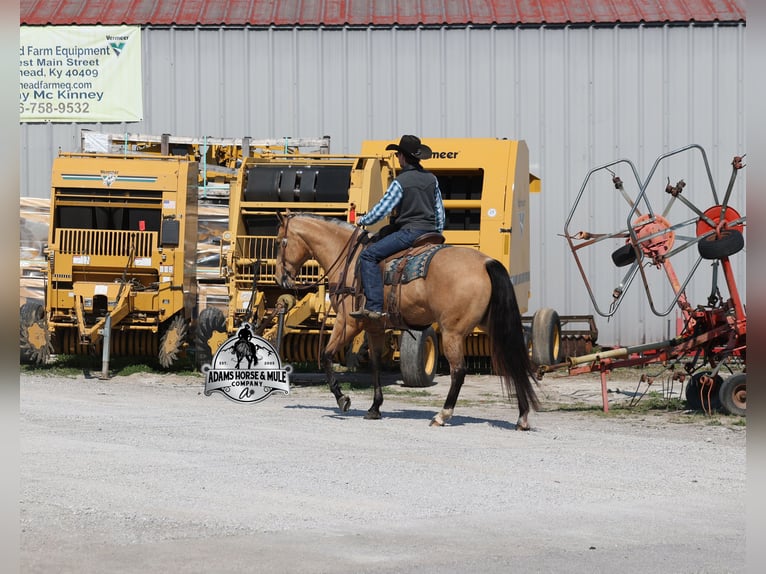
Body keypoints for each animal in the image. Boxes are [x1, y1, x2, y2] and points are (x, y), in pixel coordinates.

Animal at [274, 212, 540, 429]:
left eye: (279, 241)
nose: (281, 279)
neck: (350, 261)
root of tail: (486, 262)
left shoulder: (347, 322)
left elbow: (327, 356)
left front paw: (343, 400)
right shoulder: (374, 327)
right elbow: (375, 366)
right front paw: (374, 408)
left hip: (452, 332)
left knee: (459, 371)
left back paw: (442, 415)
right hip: (492, 327)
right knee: (513, 363)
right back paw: (522, 417)